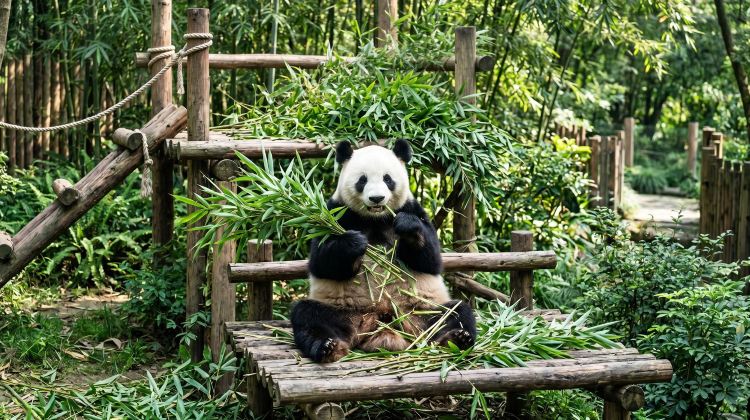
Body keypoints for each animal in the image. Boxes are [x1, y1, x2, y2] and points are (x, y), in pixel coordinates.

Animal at [290, 139, 476, 363]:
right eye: (362, 180)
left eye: (388, 179)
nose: (377, 198)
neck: (376, 219)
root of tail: (382, 322)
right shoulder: (336, 212)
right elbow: (321, 262)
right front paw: (354, 242)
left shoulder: (412, 208)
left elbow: (432, 260)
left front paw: (408, 228)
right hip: (344, 312)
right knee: (308, 315)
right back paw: (329, 347)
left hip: (422, 311)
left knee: (456, 312)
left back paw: (456, 339)